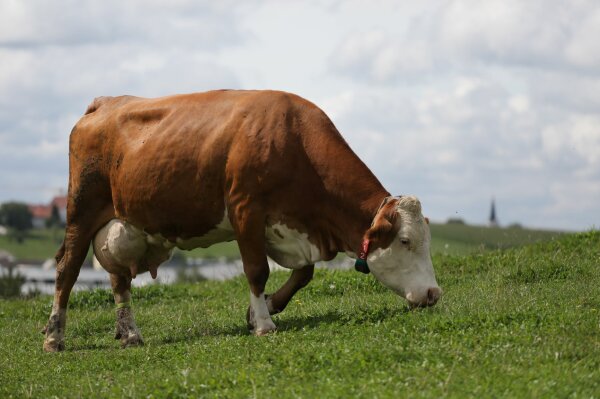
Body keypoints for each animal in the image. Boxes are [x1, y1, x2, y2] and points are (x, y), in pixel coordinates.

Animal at [39, 90, 438, 354]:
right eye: (405, 241)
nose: (434, 293)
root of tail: (106, 102)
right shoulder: (246, 210)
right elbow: (257, 271)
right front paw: (263, 323)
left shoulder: (290, 226)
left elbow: (304, 273)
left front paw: (264, 309)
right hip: (81, 211)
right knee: (67, 270)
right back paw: (54, 337)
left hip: (121, 223)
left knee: (118, 277)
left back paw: (130, 334)